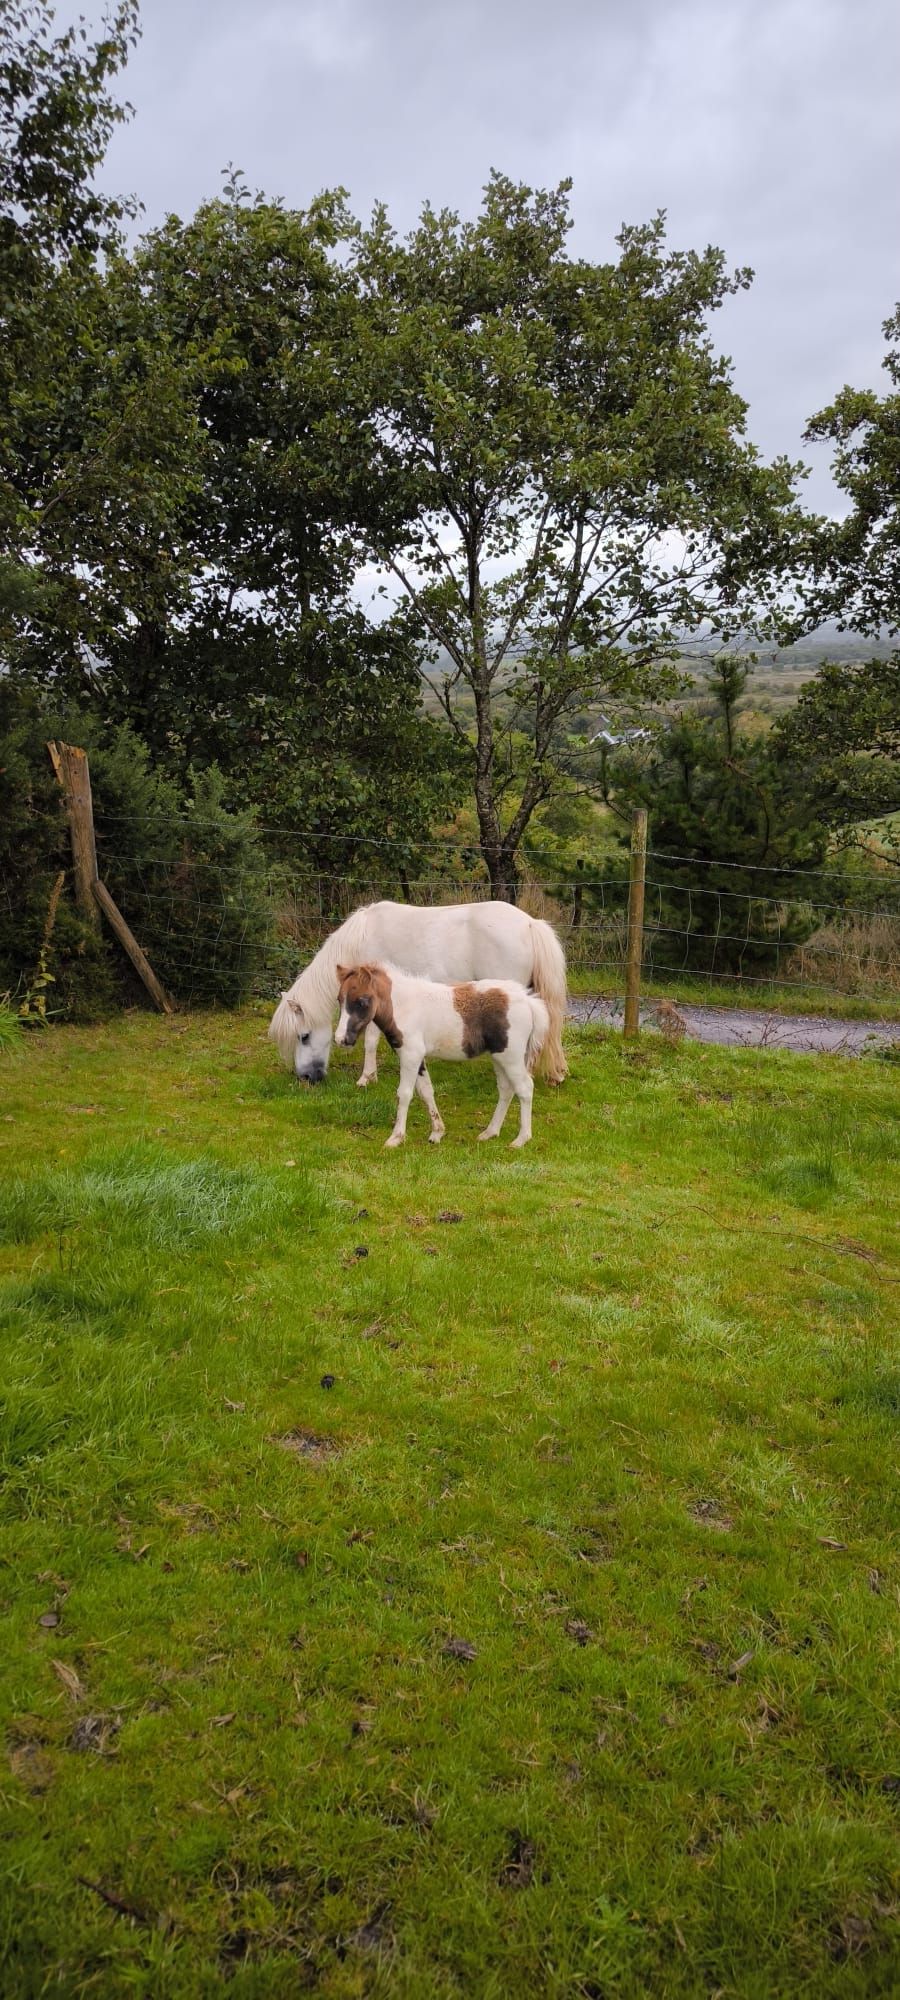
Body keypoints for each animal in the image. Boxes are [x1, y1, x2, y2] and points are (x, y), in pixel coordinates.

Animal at [268, 899, 567, 1086]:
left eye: (304, 1036)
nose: (306, 1078)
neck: (361, 938)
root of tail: (530, 923)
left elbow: (370, 1040)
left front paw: (367, 1077)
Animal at [335, 962, 549, 1148]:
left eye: (361, 1001)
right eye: (339, 999)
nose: (340, 1039)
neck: (403, 1005)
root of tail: (528, 1001)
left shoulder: (410, 1055)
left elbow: (404, 1094)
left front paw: (396, 1138)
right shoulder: (417, 1058)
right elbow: (426, 1091)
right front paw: (437, 1133)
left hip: (511, 1057)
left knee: (525, 1088)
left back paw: (521, 1139)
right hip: (499, 1058)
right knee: (506, 1089)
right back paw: (490, 1132)